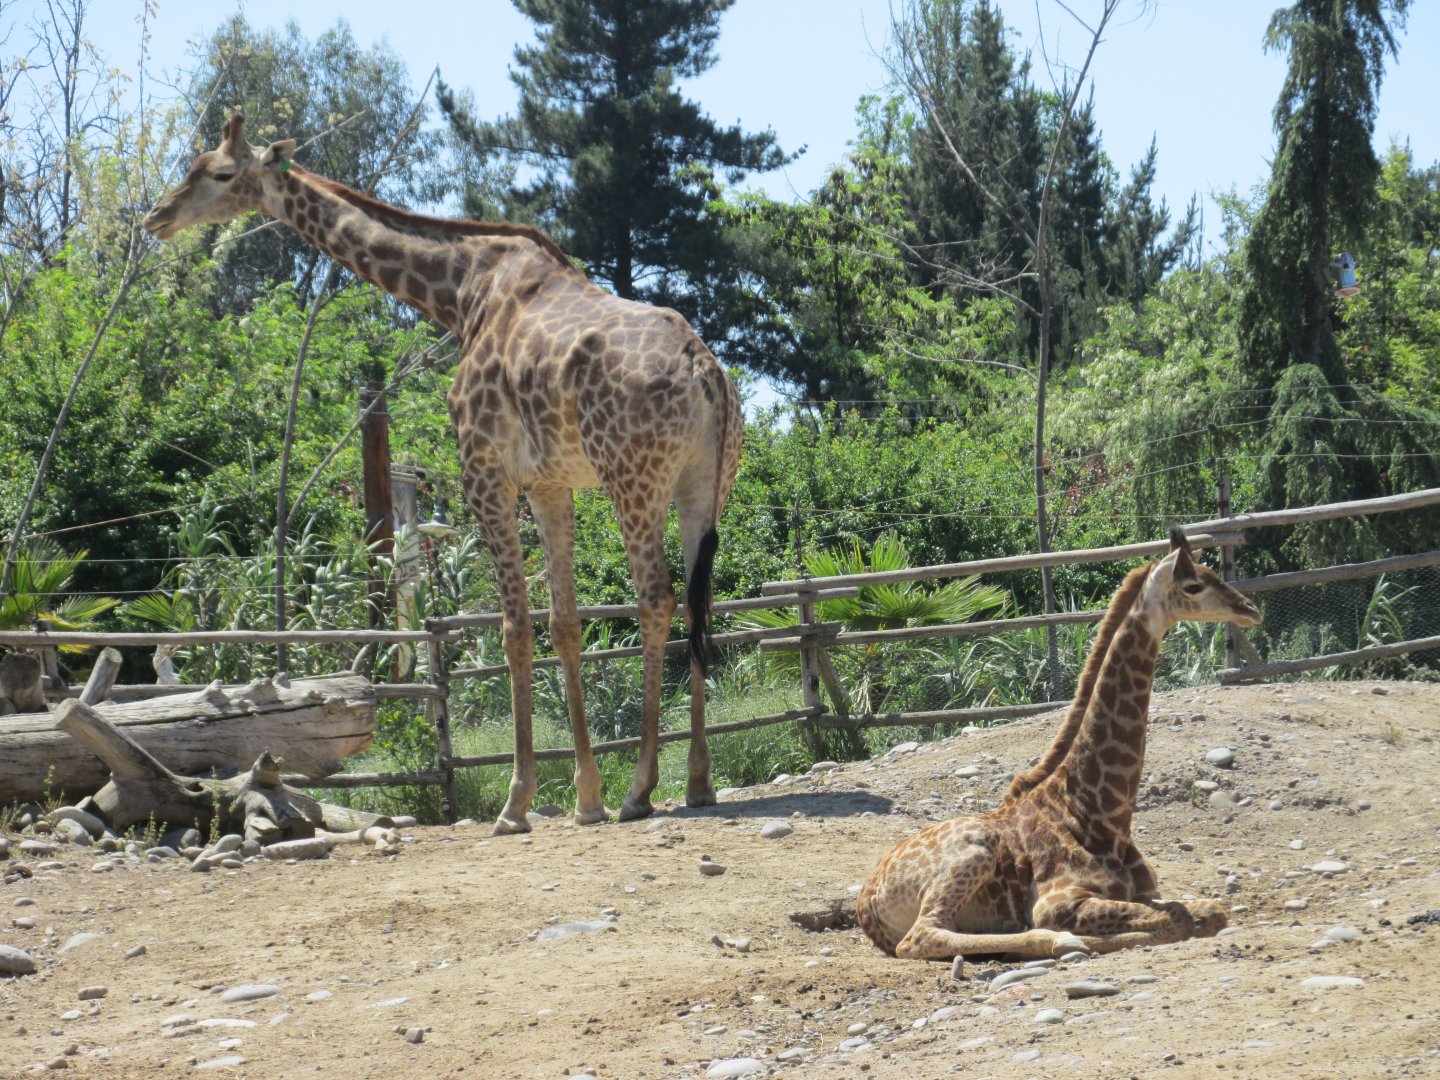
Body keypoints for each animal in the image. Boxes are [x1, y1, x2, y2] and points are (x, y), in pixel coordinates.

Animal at [143, 115, 742, 834]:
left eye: (221, 173)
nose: (157, 216)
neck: (460, 292)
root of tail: (706, 372)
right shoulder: (551, 483)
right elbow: (564, 625)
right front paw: (585, 798)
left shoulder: (483, 470)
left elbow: (514, 630)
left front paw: (518, 802)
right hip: (703, 485)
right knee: (701, 601)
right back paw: (699, 781)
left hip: (634, 480)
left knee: (655, 598)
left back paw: (643, 788)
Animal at [856, 528, 1261, 966]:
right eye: (1194, 586)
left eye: (1215, 575)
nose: (1250, 608)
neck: (1100, 813)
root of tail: (866, 902)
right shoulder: (1056, 902)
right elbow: (1181, 918)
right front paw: (1084, 938)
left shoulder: (1147, 892)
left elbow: (1207, 911)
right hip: (974, 850)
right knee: (921, 937)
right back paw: (1061, 942)